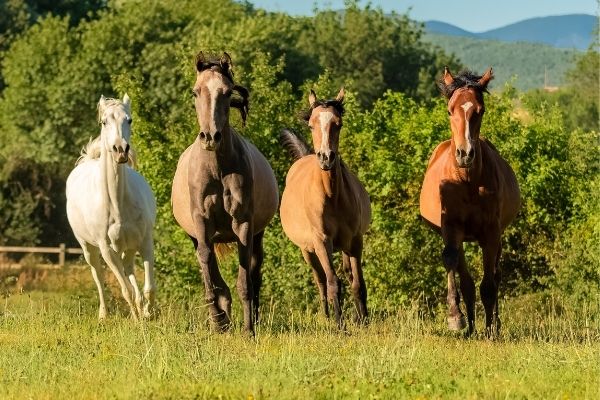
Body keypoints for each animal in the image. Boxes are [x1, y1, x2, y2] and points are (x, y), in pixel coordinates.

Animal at [65, 94, 157, 322]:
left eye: (129, 120)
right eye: (104, 122)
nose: (120, 150)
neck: (117, 204)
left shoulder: (145, 242)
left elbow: (149, 287)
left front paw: (148, 314)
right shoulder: (106, 250)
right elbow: (125, 290)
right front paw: (137, 319)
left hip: (128, 247)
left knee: (129, 268)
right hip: (88, 248)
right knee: (98, 277)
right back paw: (103, 315)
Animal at [171, 53, 278, 334]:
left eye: (228, 92)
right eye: (195, 92)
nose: (211, 137)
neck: (217, 169)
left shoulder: (243, 224)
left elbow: (245, 279)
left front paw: (249, 329)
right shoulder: (201, 222)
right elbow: (206, 261)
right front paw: (218, 319)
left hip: (257, 233)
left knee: (255, 271)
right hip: (198, 234)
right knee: (207, 262)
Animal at [280, 87, 370, 328]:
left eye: (338, 124)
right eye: (311, 125)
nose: (326, 158)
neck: (332, 196)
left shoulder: (355, 241)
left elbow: (358, 283)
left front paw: (364, 321)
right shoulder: (321, 243)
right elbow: (332, 283)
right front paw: (339, 325)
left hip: (345, 246)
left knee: (348, 275)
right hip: (307, 251)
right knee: (320, 281)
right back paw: (327, 317)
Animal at [422, 67, 520, 336]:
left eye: (480, 110)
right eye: (450, 110)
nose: (465, 154)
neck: (466, 182)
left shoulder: (491, 232)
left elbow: (489, 284)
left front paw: (491, 329)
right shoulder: (451, 226)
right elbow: (451, 261)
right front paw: (456, 318)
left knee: (495, 275)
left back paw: (492, 323)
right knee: (465, 277)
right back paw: (470, 326)